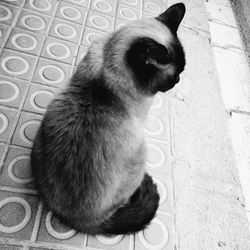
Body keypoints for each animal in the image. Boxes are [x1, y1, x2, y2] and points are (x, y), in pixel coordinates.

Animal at [30, 2, 186, 235]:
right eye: (173, 76)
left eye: (181, 72)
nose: (177, 81)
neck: (106, 65)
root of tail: (88, 222)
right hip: (141, 155)